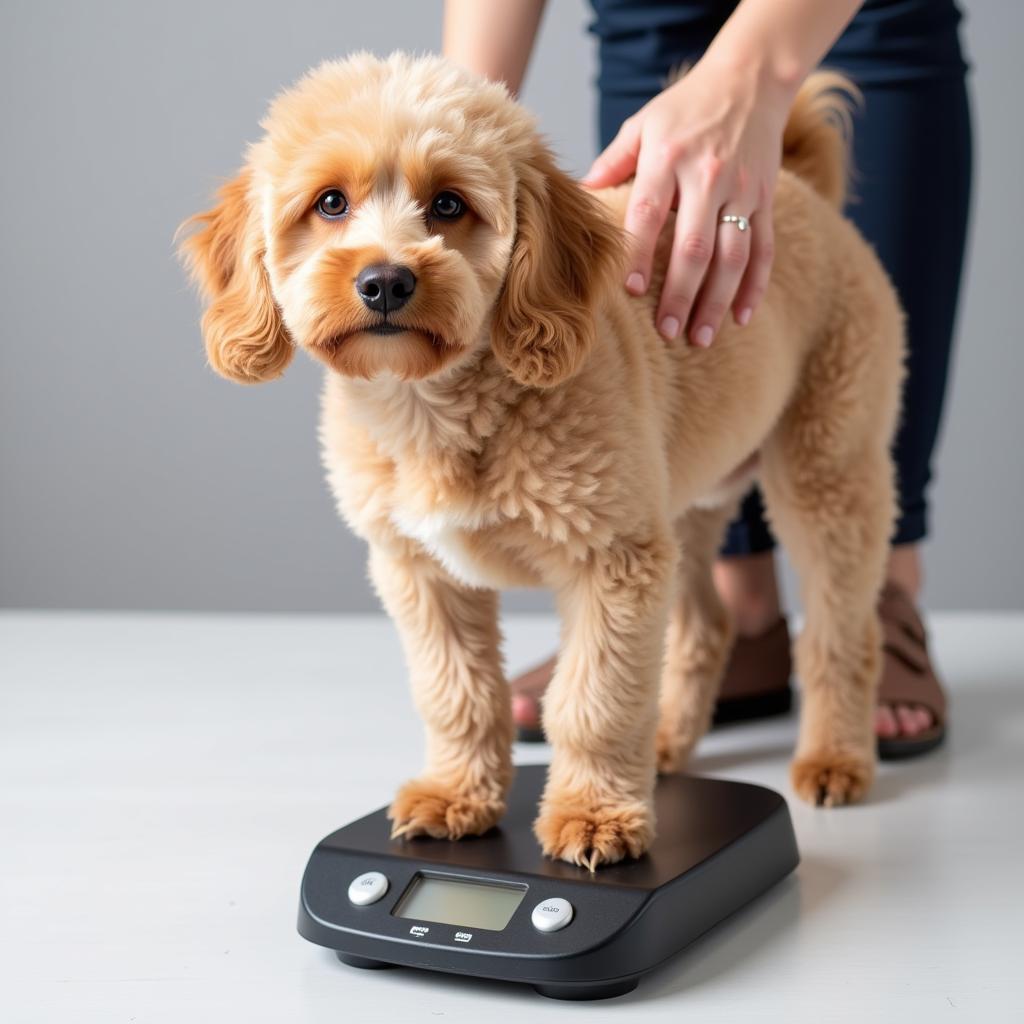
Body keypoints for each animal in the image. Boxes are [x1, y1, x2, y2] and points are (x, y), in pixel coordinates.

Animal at [178, 54, 905, 872]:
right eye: (330, 203)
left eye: (449, 204)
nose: (386, 281)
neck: (441, 408)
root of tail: (798, 189)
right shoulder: (419, 572)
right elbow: (456, 694)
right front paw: (456, 795)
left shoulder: (613, 562)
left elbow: (592, 702)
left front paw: (593, 817)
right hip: (681, 504)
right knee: (705, 627)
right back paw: (667, 739)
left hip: (827, 471)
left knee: (843, 633)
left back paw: (836, 757)